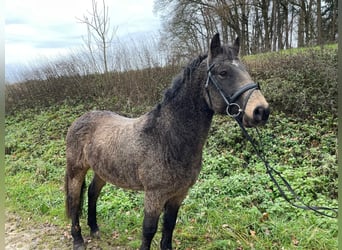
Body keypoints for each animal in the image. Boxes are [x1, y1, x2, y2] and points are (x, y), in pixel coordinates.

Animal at [65, 33, 270, 250]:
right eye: (223, 72)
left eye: (245, 70)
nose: (261, 110)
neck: (167, 138)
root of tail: (80, 119)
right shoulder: (154, 195)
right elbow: (148, 230)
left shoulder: (178, 194)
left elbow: (169, 226)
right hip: (76, 171)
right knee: (74, 201)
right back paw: (78, 240)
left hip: (102, 171)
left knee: (92, 193)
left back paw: (95, 229)